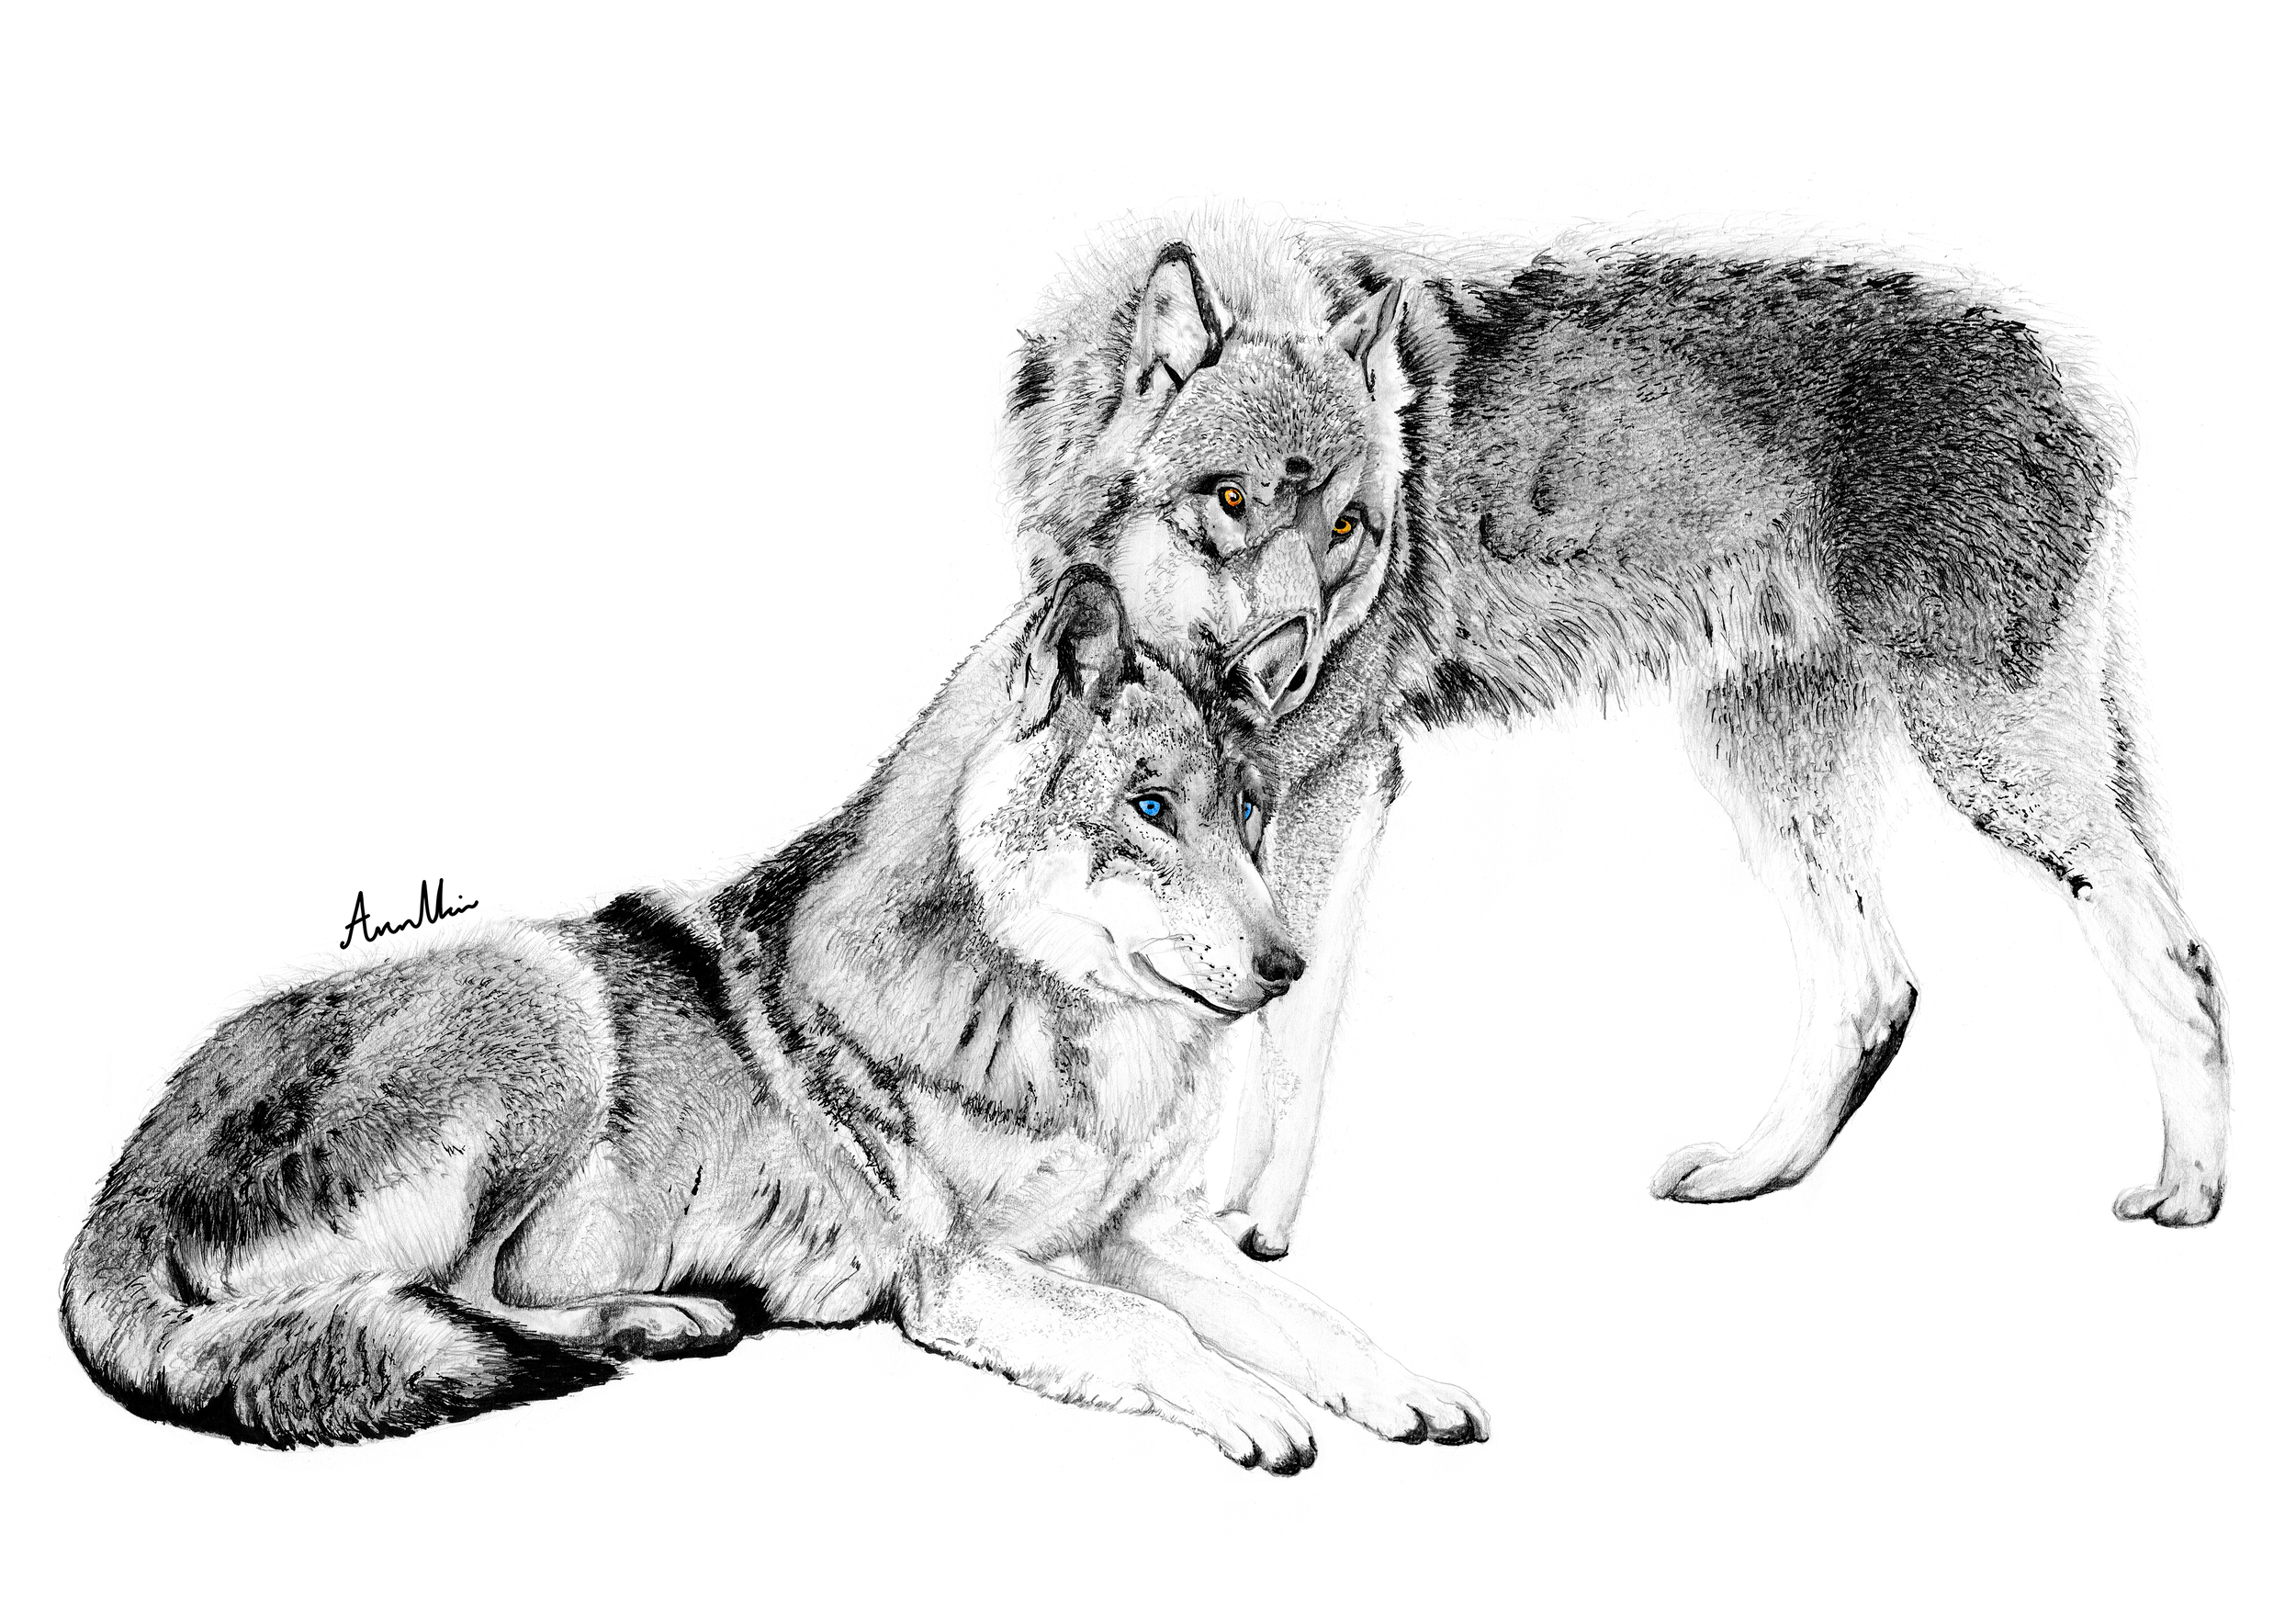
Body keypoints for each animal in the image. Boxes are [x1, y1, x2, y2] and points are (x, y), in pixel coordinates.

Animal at [61, 565, 1486, 1469]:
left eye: (1245, 813)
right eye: (1149, 809)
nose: (1290, 964)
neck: (1061, 1035)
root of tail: (115, 1191)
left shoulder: (1138, 1231)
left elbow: (1312, 1317)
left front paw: (1403, 1390)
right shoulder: (960, 1275)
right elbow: (1150, 1328)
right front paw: (1258, 1410)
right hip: (548, 1003)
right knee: (450, 1298)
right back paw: (660, 1320)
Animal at [1003, 213, 2229, 1253]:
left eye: (1349, 527)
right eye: (1230, 501)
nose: (1290, 671)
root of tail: (2065, 375)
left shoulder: (1341, 787)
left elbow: (1284, 1027)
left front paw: (1243, 1227)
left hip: (1987, 766)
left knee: (2180, 955)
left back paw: (2191, 1193)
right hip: (1772, 778)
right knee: (1876, 991)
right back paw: (1751, 1176)